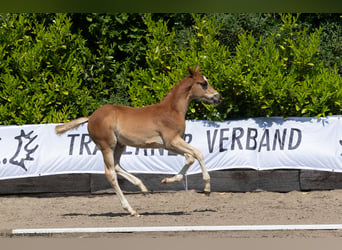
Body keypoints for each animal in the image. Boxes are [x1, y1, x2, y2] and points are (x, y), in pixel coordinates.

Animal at [56, 65, 222, 216]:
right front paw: (207, 188)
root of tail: (91, 117)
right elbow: (197, 154)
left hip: (120, 145)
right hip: (107, 145)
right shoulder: (172, 141)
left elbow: (189, 157)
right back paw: (131, 210)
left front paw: (167, 180)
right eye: (203, 83)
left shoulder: (168, 145)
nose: (218, 97)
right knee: (110, 173)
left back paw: (142, 188)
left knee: (116, 165)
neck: (171, 111)